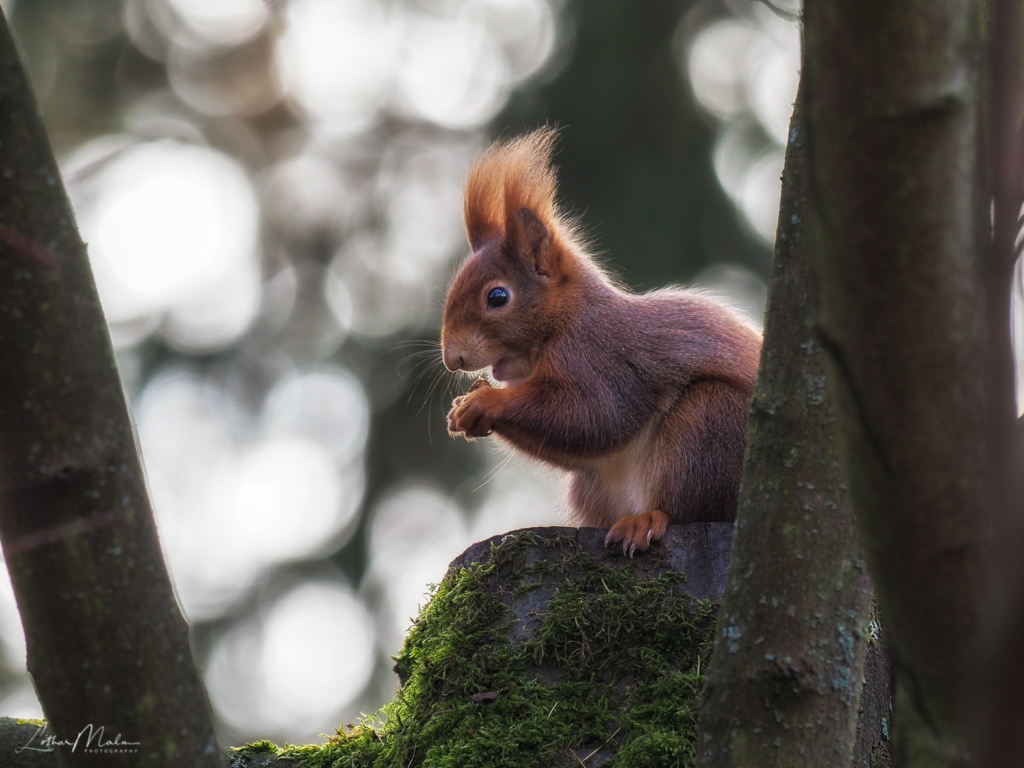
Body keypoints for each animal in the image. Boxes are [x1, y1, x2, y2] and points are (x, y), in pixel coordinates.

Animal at [440, 129, 761, 557]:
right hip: (591, 487)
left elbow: (595, 415)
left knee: (686, 506)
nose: (452, 358)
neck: (564, 320)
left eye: (497, 297)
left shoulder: (599, 356)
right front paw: (461, 408)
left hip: (708, 429)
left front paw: (484, 401)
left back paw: (647, 520)